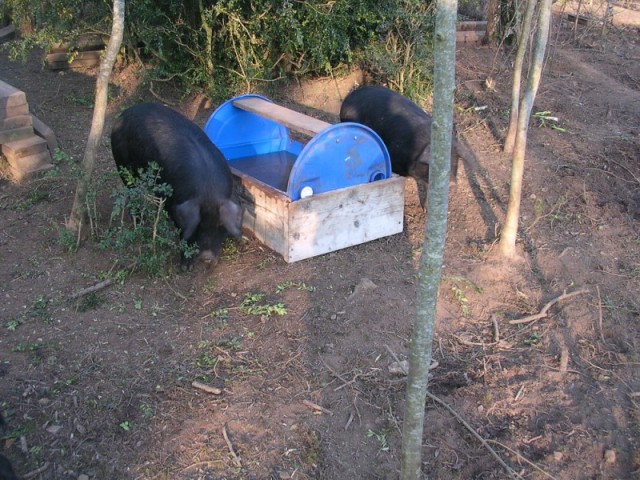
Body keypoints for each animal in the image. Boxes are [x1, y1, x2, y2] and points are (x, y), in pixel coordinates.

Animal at [110, 102, 242, 268]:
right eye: (198, 227)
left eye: (220, 226)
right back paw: (139, 222)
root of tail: (123, 114)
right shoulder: (174, 202)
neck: (208, 190)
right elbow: (183, 233)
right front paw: (186, 267)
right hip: (122, 164)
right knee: (132, 194)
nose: (206, 258)